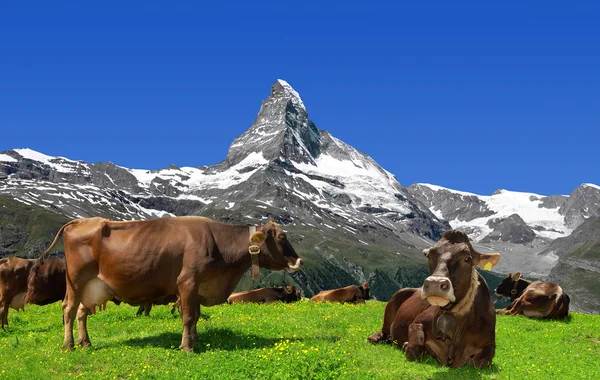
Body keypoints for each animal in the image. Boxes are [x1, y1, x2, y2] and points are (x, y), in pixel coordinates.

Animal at [25, 215, 302, 352]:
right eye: (281, 237)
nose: (298, 260)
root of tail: (81, 221)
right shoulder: (188, 281)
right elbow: (188, 316)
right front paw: (187, 347)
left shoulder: (197, 286)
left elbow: (196, 316)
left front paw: (196, 342)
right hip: (75, 280)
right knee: (69, 310)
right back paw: (69, 345)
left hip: (92, 286)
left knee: (82, 312)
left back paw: (86, 342)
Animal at [366, 230, 502, 366]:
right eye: (429, 256)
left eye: (467, 258)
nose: (435, 283)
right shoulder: (417, 322)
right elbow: (414, 349)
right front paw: (407, 346)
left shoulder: (490, 343)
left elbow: (480, 361)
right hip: (397, 295)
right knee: (385, 330)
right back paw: (374, 337)